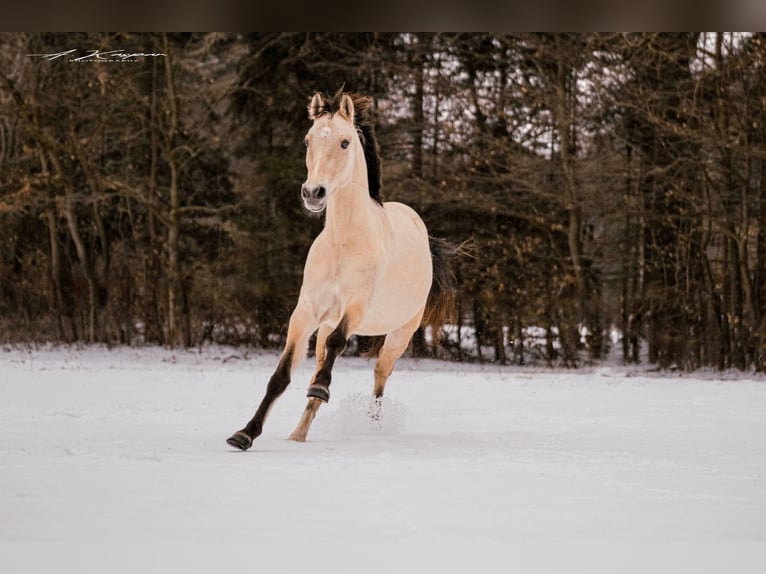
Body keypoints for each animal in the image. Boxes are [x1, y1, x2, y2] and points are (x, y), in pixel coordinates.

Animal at [227, 89, 455, 451]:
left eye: (345, 142)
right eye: (307, 140)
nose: (313, 193)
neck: (343, 243)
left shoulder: (356, 307)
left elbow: (338, 343)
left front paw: (321, 387)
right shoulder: (307, 311)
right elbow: (282, 373)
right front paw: (245, 434)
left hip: (401, 333)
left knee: (380, 373)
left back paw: (370, 424)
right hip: (326, 324)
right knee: (322, 361)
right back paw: (298, 434)